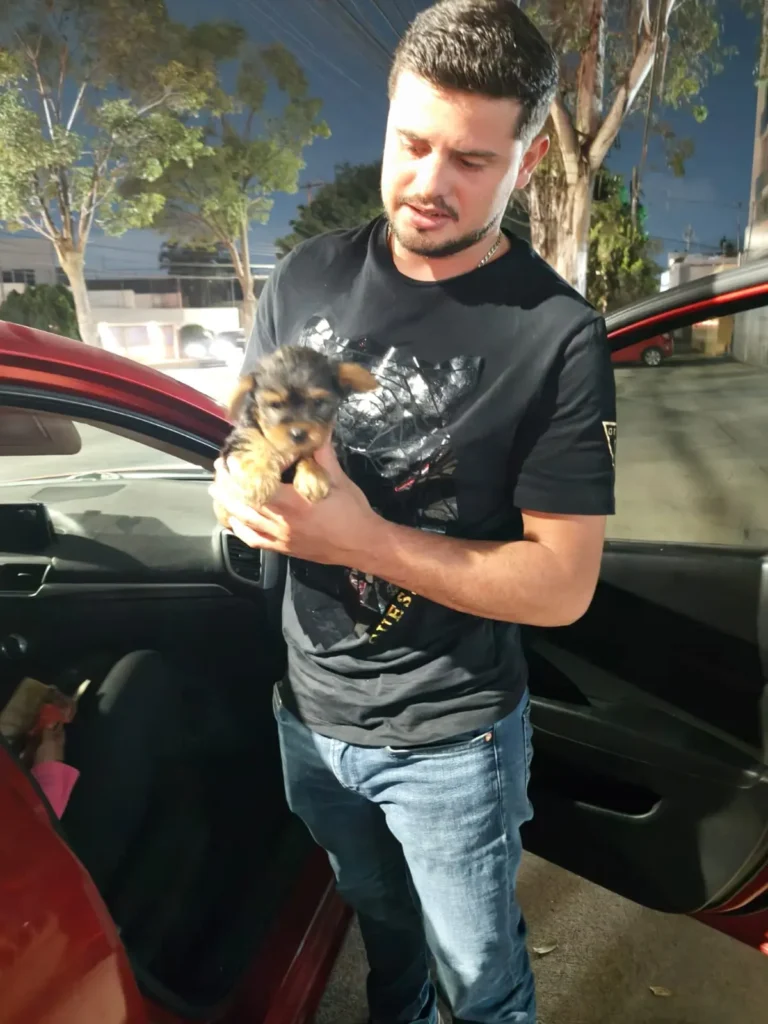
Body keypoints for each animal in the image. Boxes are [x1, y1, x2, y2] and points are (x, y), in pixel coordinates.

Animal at [214, 345, 379, 528]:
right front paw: (258, 477)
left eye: (318, 402)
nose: (298, 434)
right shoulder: (242, 434)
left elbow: (309, 451)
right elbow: (253, 442)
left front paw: (313, 475)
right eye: (275, 405)